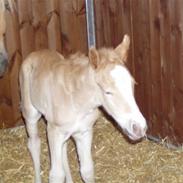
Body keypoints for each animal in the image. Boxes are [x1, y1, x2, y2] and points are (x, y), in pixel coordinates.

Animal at [19, 34, 147, 183]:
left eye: (132, 84)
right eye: (108, 92)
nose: (139, 127)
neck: (78, 102)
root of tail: (35, 53)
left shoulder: (84, 132)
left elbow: (87, 170)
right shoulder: (54, 132)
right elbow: (56, 175)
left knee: (63, 150)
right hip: (30, 113)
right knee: (34, 144)